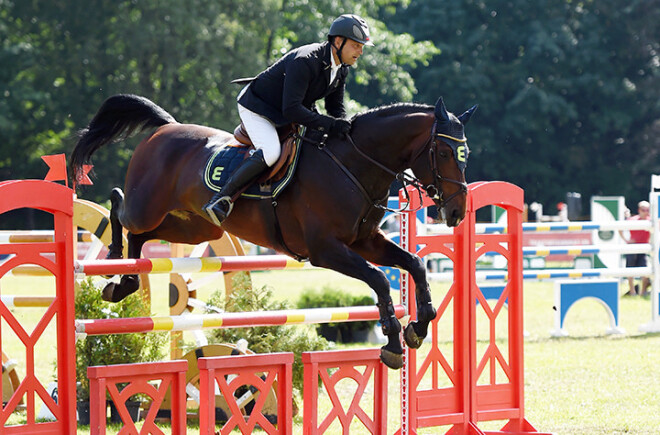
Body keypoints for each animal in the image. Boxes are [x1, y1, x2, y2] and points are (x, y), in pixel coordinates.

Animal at [71, 93, 474, 370]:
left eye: (465, 154)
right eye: (442, 152)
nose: (456, 212)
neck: (352, 164)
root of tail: (166, 127)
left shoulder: (365, 242)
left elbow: (415, 265)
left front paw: (419, 325)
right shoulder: (326, 250)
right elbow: (378, 279)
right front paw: (392, 342)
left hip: (196, 228)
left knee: (142, 234)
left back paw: (123, 284)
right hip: (147, 206)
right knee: (120, 206)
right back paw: (113, 263)